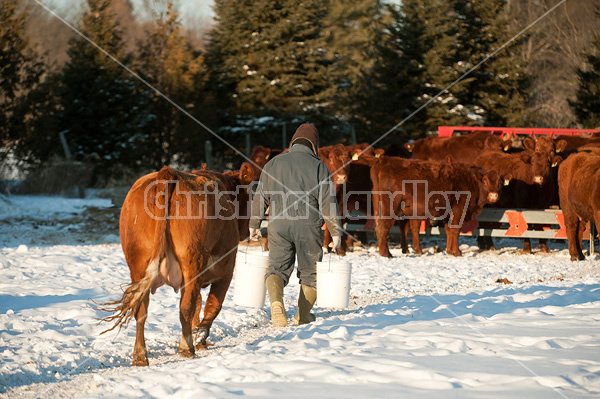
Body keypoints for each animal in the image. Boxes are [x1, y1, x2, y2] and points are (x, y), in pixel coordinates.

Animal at [100, 162, 253, 366]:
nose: (247, 233)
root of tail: (167, 173)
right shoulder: (226, 270)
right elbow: (212, 305)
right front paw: (200, 337)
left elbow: (198, 305)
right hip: (192, 262)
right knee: (185, 307)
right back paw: (186, 348)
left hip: (138, 266)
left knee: (141, 310)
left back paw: (140, 356)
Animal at [370, 156, 502, 256]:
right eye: (484, 181)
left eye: (500, 182)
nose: (493, 196)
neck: (471, 180)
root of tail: (384, 160)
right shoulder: (459, 209)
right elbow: (456, 229)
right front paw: (457, 252)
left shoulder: (447, 213)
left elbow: (449, 230)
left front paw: (449, 251)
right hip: (391, 207)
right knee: (384, 225)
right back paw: (385, 253)